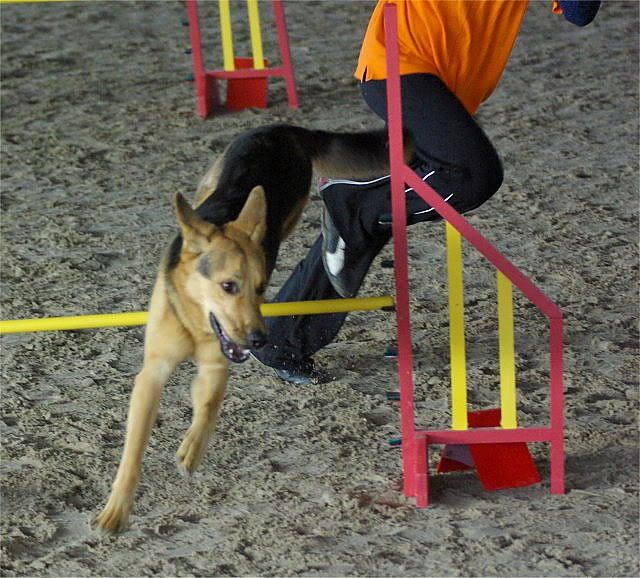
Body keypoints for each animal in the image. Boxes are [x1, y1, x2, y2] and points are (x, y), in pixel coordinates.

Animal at [94, 123, 413, 532]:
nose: (259, 340)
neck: (197, 318)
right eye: (228, 286)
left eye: (261, 287)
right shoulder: (153, 373)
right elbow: (133, 450)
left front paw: (191, 450)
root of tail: (281, 129)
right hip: (212, 184)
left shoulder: (216, 364)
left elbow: (208, 407)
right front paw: (116, 510)